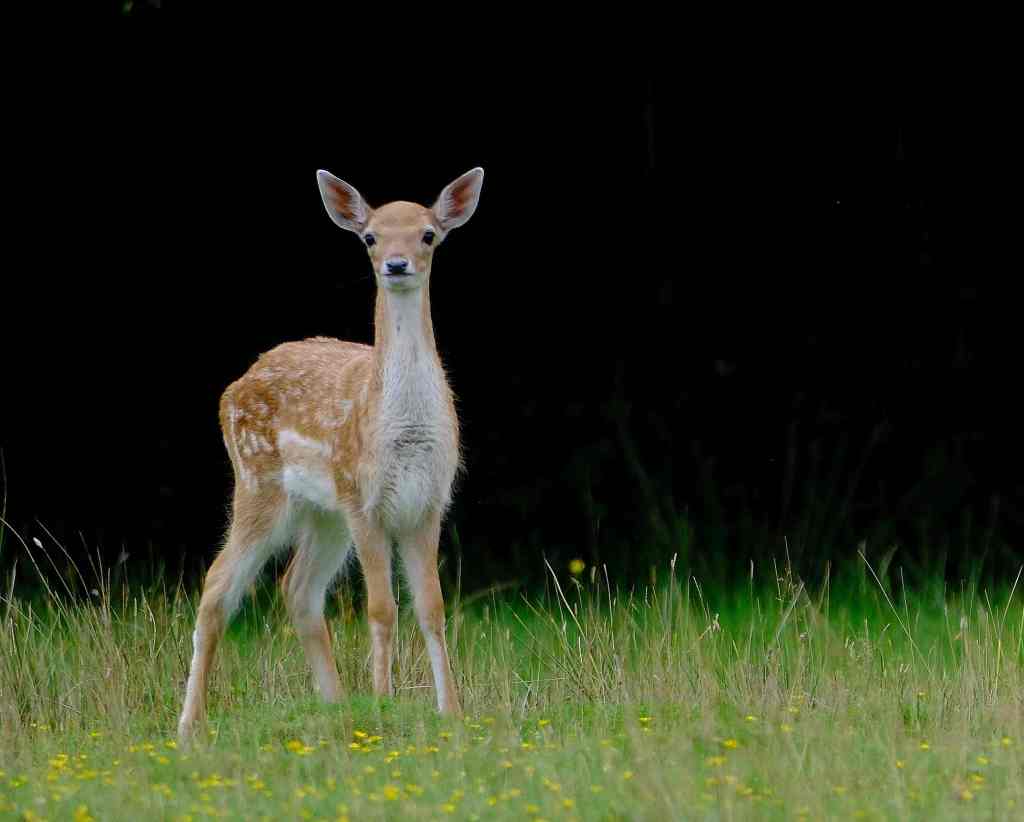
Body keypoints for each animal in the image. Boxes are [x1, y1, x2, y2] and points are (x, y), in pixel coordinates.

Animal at [177, 167, 484, 743]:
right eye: (370, 238)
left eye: (428, 234)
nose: (396, 264)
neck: (405, 433)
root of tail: (235, 386)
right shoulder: (365, 501)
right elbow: (382, 608)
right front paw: (384, 703)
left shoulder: (427, 504)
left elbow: (432, 608)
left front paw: (451, 712)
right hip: (259, 483)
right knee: (216, 586)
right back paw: (189, 725)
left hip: (324, 512)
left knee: (296, 587)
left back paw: (336, 705)